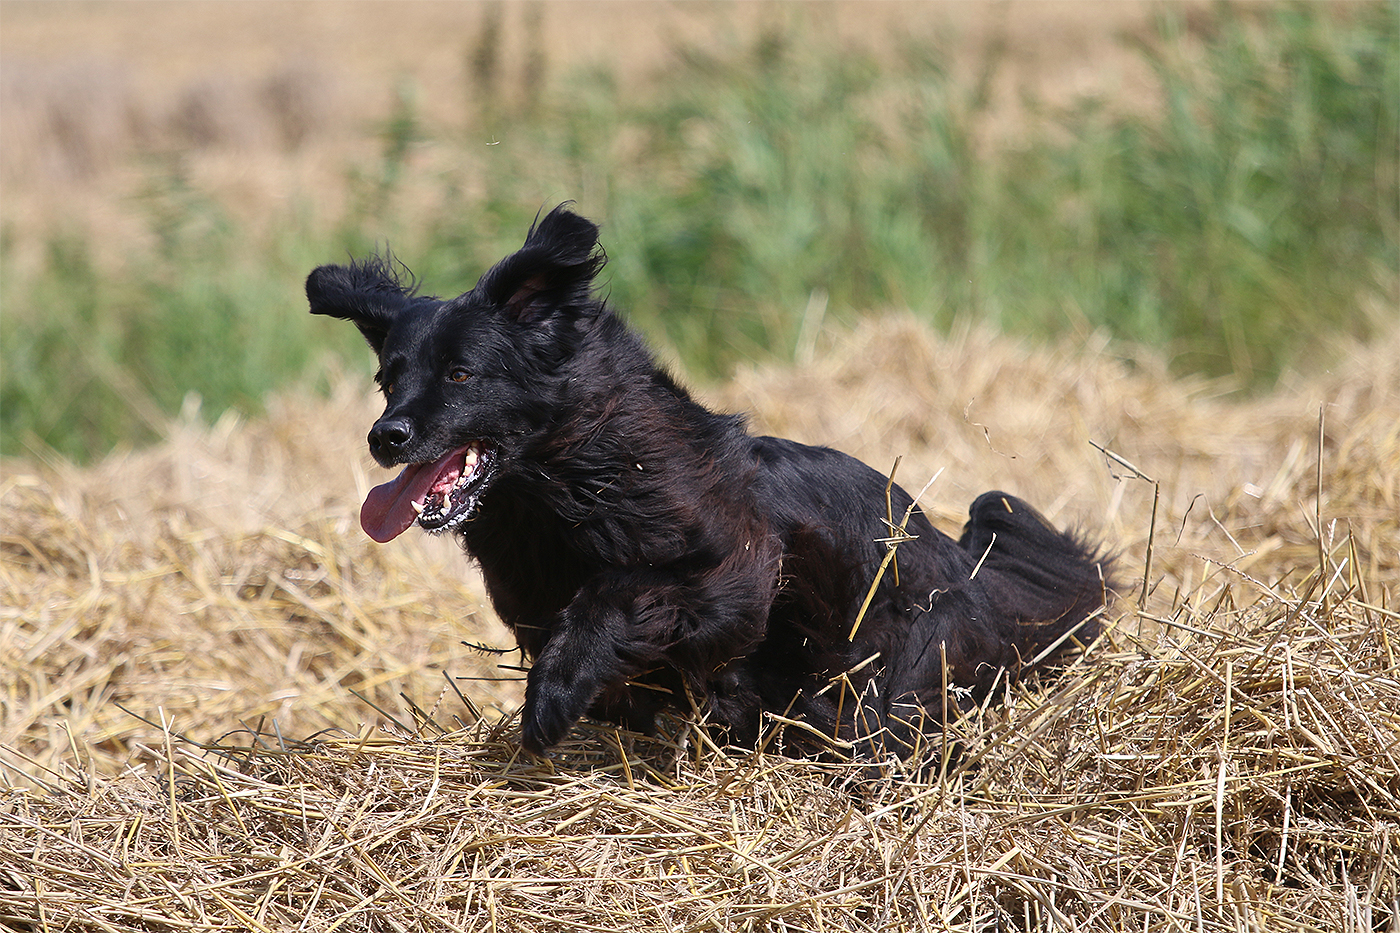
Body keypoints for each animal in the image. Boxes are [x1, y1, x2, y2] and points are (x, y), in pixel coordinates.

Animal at [306, 205, 1112, 760]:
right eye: (388, 379)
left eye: (461, 374)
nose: (385, 437)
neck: (565, 483)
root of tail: (973, 575)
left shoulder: (730, 571)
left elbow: (616, 596)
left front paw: (554, 697)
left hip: (889, 670)